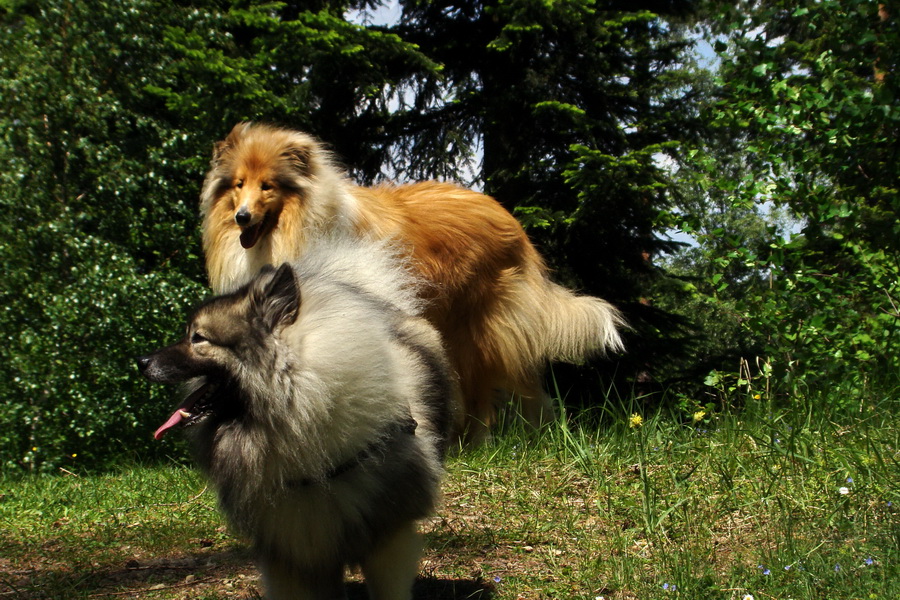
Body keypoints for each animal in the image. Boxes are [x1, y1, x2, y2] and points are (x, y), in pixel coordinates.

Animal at [200, 123, 624, 440]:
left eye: (268, 185)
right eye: (238, 183)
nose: (241, 217)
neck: (296, 223)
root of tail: (514, 225)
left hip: (476, 332)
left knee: (490, 394)